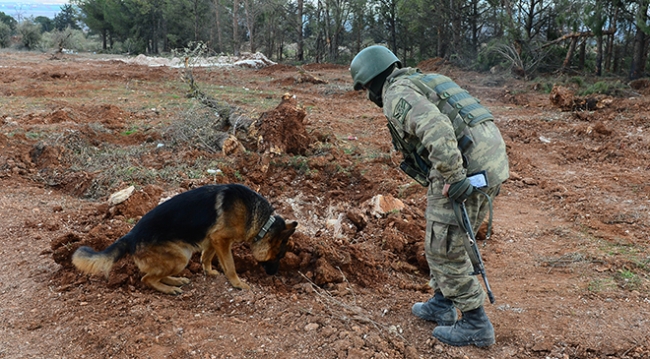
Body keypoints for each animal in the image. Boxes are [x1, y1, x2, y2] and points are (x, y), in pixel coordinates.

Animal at [72, 184, 298, 294]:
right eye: (279, 256)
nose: (274, 274)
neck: (262, 222)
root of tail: (131, 235)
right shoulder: (222, 239)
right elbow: (230, 266)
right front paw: (237, 284)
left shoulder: (214, 239)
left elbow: (207, 256)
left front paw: (209, 271)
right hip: (181, 257)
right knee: (147, 279)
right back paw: (169, 289)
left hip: (181, 255)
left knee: (155, 275)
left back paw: (175, 280)